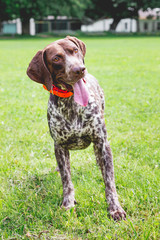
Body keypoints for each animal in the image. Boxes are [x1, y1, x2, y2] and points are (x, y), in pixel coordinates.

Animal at [26, 35, 126, 221]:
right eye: (56, 58)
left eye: (75, 50)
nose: (79, 69)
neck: (71, 103)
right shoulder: (60, 147)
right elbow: (67, 180)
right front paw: (68, 204)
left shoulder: (102, 141)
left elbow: (109, 181)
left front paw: (115, 208)